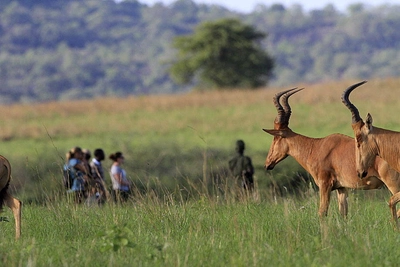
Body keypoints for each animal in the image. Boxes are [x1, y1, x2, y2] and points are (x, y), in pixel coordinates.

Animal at [262, 89, 400, 219]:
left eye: (276, 137)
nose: (268, 164)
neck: (317, 146)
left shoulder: (325, 185)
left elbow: (322, 212)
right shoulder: (342, 188)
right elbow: (343, 214)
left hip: (393, 185)